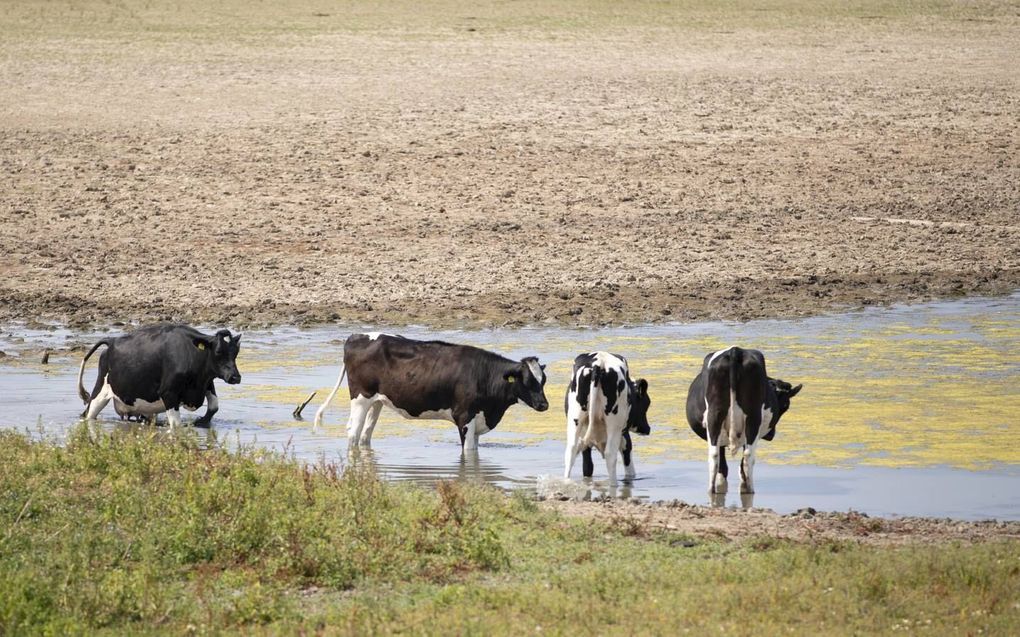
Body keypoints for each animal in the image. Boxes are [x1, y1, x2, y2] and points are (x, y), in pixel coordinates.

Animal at [78, 322, 241, 428]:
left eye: (236, 352)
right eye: (218, 351)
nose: (235, 377)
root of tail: (111, 341)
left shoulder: (206, 383)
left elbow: (214, 407)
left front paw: (199, 422)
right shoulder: (168, 393)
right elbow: (176, 425)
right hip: (100, 391)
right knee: (88, 414)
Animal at [310, 332, 550, 446]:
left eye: (543, 380)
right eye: (527, 381)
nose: (544, 405)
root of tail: (355, 336)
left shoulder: (477, 420)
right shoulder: (464, 418)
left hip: (377, 401)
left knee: (365, 435)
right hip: (361, 397)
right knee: (353, 433)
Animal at [563, 350, 648, 485]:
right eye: (647, 404)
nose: (647, 429)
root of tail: (598, 363)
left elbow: (587, 467)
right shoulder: (624, 435)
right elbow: (629, 466)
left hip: (575, 420)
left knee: (571, 451)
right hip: (614, 425)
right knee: (610, 455)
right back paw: (613, 485)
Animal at [685, 348, 803, 491]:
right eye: (786, 406)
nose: (770, 435)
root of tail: (735, 350)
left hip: (718, 416)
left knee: (718, 455)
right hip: (751, 418)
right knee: (744, 456)